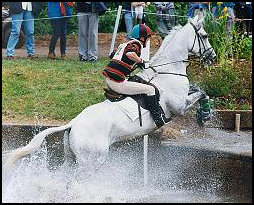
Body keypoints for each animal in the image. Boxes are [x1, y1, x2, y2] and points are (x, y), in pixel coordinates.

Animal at [4, 16, 216, 172]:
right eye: (205, 36)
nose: (213, 57)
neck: (168, 70)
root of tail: (72, 124)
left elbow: (200, 91)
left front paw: (204, 114)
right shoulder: (179, 106)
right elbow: (200, 93)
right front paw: (204, 116)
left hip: (71, 160)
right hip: (90, 163)